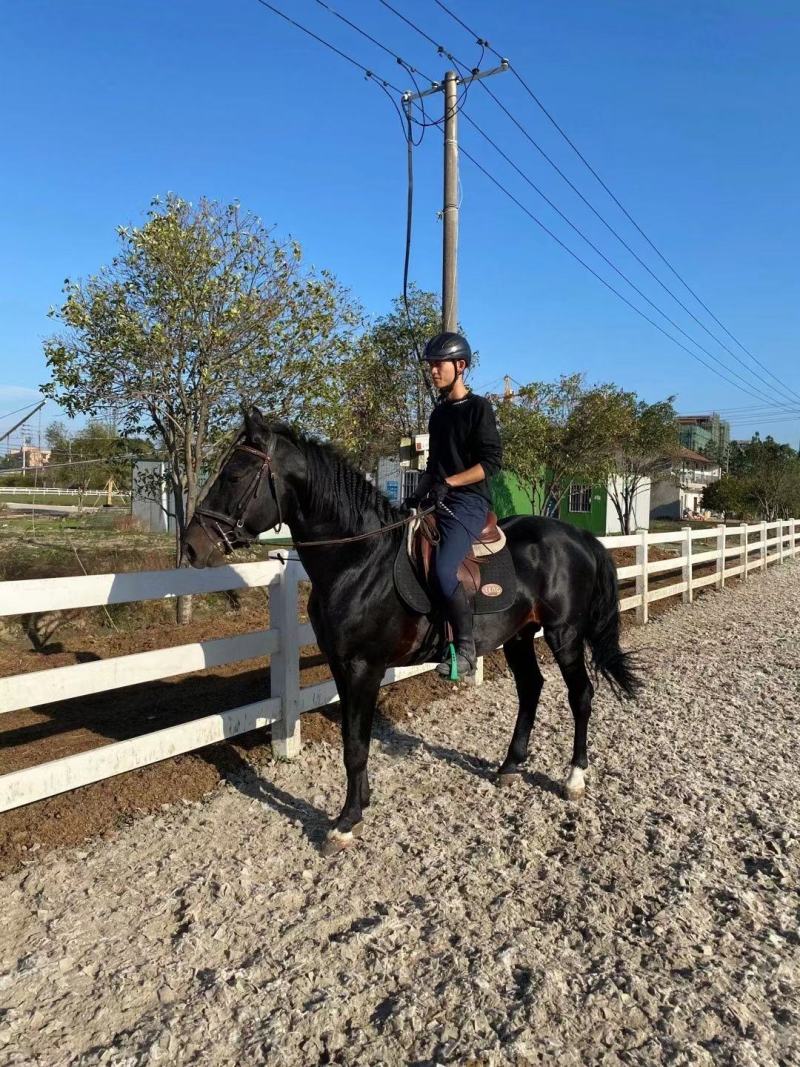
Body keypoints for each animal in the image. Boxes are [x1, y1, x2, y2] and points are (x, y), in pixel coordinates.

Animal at [182, 407, 640, 857]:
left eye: (233, 475)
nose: (190, 546)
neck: (359, 560)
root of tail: (579, 536)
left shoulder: (364, 667)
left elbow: (356, 745)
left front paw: (345, 822)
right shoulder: (342, 666)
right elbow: (353, 738)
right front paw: (360, 804)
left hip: (564, 634)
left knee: (580, 695)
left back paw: (574, 777)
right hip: (520, 635)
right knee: (531, 688)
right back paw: (510, 766)